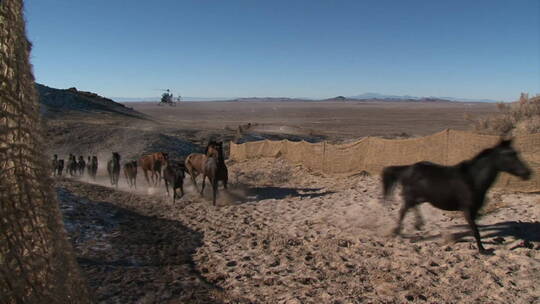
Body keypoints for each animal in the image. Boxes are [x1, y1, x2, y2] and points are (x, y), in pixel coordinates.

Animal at [384, 139, 532, 253]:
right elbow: (475, 230)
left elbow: (475, 228)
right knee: (403, 211)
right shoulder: (467, 210)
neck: (472, 180)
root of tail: (408, 169)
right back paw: (397, 232)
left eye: (516, 153)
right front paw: (483, 250)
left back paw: (418, 225)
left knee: (412, 207)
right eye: (509, 154)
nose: (527, 173)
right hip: (410, 196)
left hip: (419, 197)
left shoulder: (475, 210)